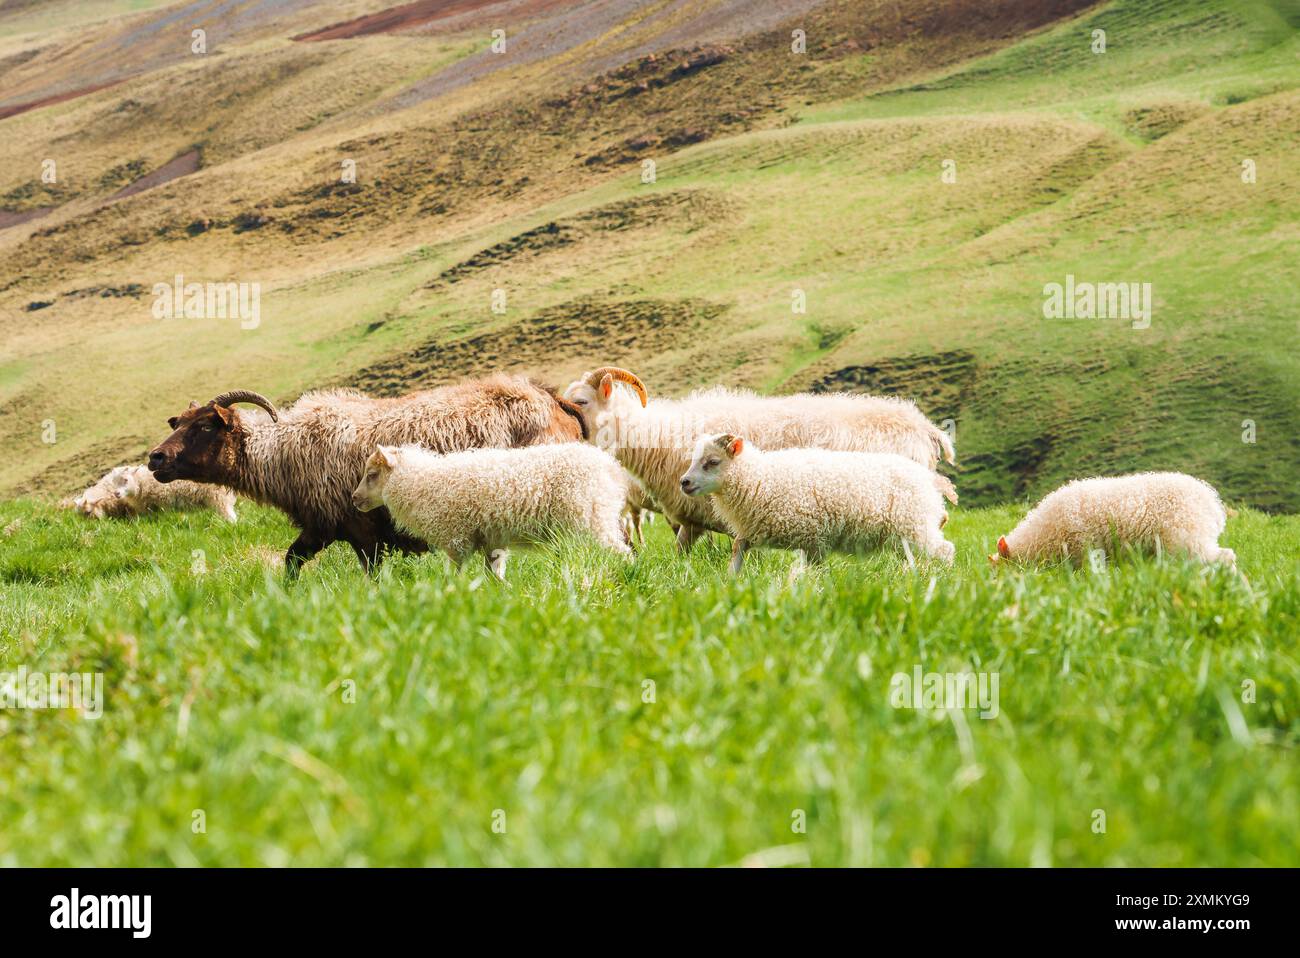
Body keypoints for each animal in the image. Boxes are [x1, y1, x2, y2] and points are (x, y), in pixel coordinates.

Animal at [147, 376, 587, 576]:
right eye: (178, 422)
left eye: (205, 425)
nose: (155, 458)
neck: (285, 452)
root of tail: (551, 398)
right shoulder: (323, 527)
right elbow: (291, 562)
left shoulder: (362, 530)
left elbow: (373, 576)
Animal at [350, 442, 632, 580]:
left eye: (372, 474)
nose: (354, 498)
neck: (420, 483)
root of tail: (611, 468)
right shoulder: (492, 541)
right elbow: (494, 575)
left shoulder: (457, 539)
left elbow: (453, 576)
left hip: (591, 520)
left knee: (620, 553)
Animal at [680, 433, 956, 573]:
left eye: (712, 462)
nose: (684, 482)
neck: (759, 478)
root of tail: (930, 480)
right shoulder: (753, 530)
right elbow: (737, 550)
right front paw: (730, 583)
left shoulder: (813, 538)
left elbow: (813, 571)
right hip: (902, 536)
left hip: (916, 526)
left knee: (946, 550)